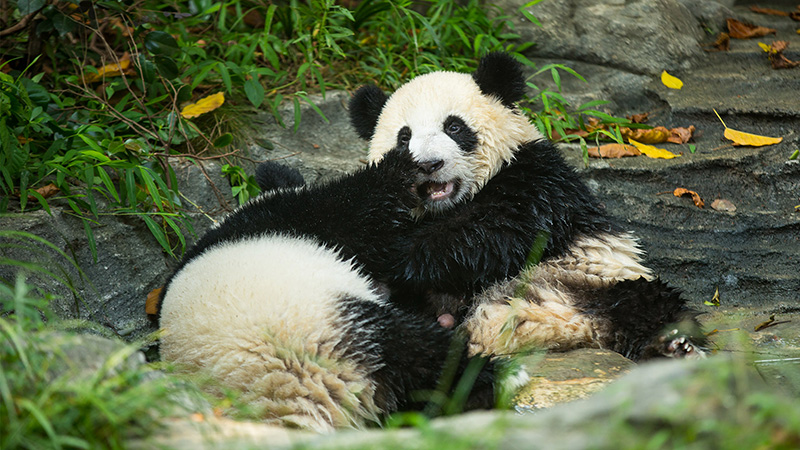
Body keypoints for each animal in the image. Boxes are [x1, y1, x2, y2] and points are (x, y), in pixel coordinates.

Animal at [156, 147, 523, 432]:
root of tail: (297, 399)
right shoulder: (304, 219)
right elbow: (360, 207)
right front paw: (403, 163)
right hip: (323, 325)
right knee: (418, 352)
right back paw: (492, 377)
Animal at [347, 52, 707, 361]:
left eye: (454, 127)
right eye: (404, 137)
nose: (428, 164)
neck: (451, 205)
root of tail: (573, 328)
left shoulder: (541, 179)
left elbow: (500, 233)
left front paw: (396, 253)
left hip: (603, 279)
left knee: (652, 305)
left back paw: (673, 347)